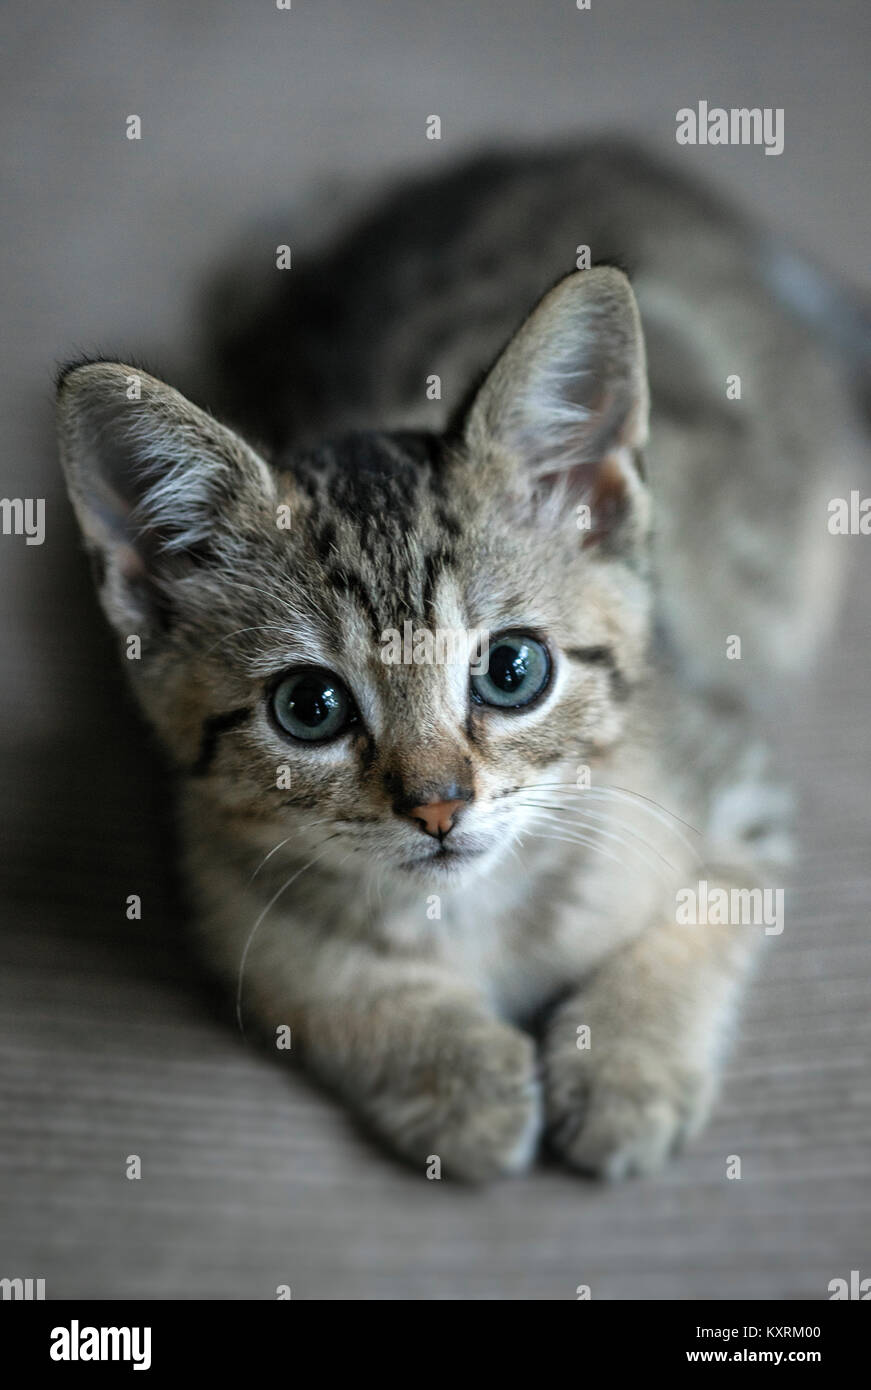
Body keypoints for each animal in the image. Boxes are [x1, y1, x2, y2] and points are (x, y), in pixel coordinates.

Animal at [57, 143, 861, 1184]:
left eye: (511, 671)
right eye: (309, 706)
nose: (438, 806)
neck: (471, 910)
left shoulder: (733, 785)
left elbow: (698, 920)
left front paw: (627, 1067)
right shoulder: (215, 881)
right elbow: (310, 972)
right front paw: (459, 1081)